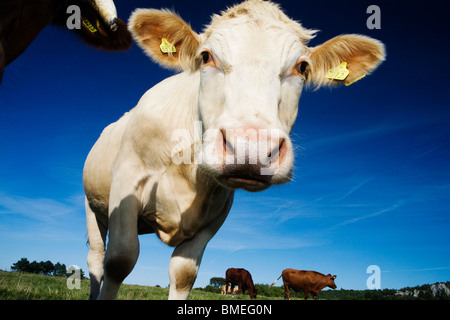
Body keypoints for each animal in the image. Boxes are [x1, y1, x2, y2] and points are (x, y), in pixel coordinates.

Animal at [82, 0, 384, 300]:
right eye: (206, 57)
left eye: (302, 67)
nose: (251, 149)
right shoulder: (126, 183)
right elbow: (119, 260)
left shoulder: (216, 216)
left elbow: (184, 275)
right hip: (93, 207)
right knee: (96, 258)